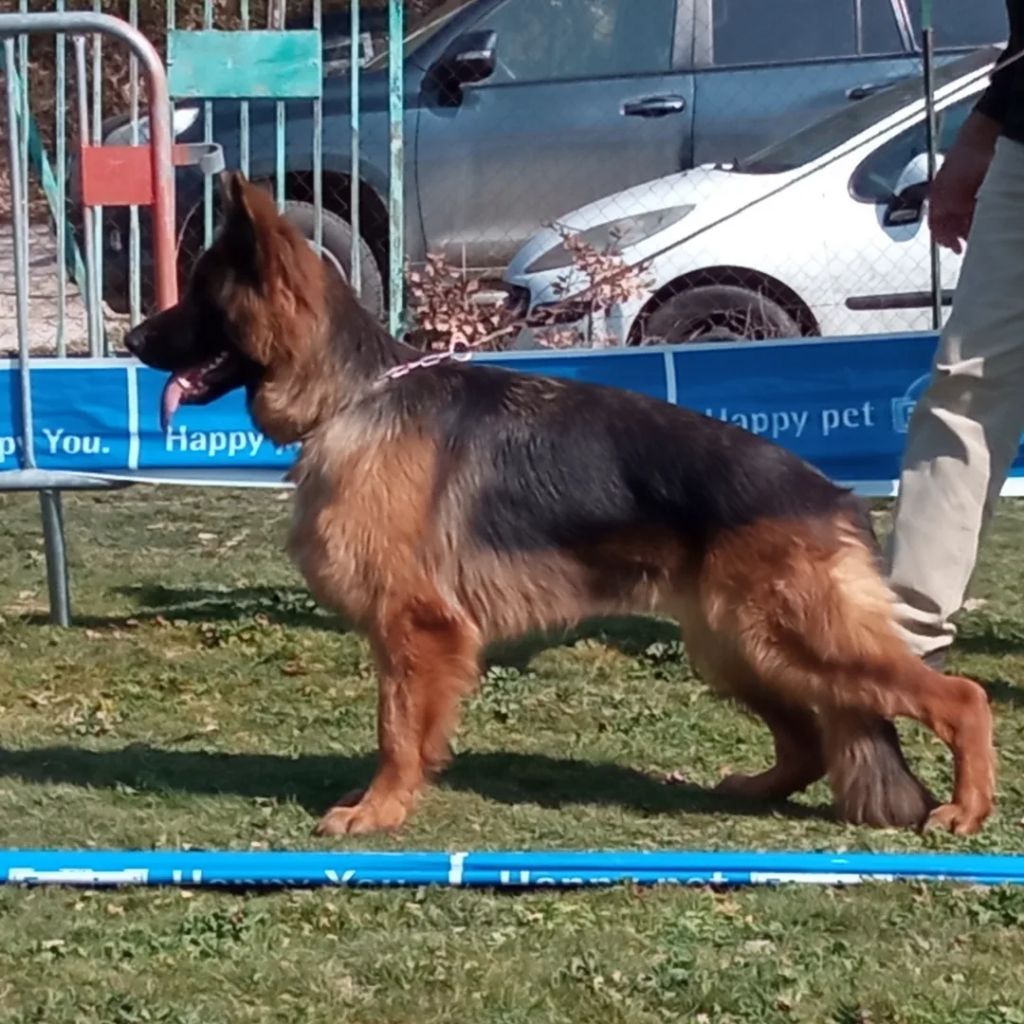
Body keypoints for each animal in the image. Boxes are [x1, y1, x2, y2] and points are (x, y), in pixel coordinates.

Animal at [124, 171, 996, 837]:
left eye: (198, 298)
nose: (131, 341)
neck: (352, 396)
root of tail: (830, 494)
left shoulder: (417, 629)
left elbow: (396, 732)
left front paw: (378, 811)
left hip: (795, 637)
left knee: (962, 696)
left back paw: (966, 808)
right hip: (739, 646)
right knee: (812, 739)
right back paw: (754, 789)